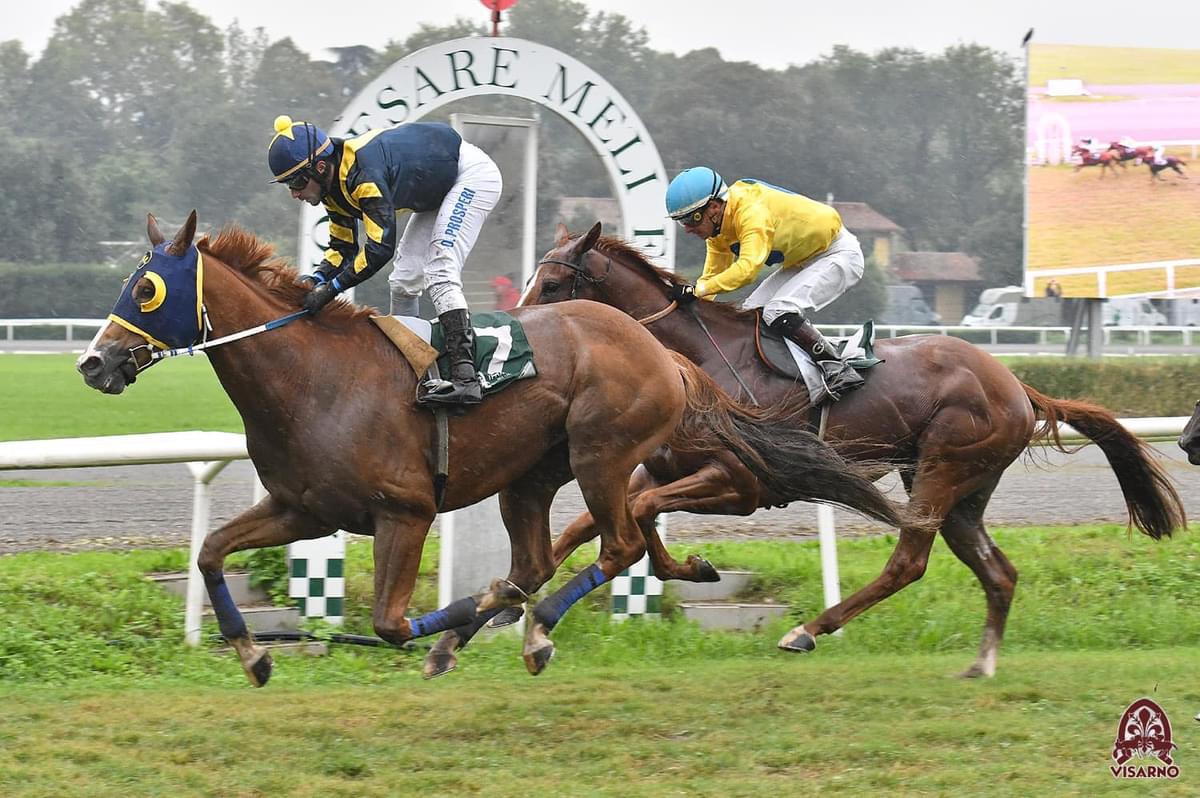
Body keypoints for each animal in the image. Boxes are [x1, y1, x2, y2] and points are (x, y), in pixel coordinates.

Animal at [77, 210, 907, 676]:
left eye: (146, 290)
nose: (95, 362)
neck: (313, 377)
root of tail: (657, 349)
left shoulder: (404, 510)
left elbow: (389, 622)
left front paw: (452, 626)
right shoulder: (303, 509)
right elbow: (210, 552)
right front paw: (252, 654)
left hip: (601, 453)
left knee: (616, 544)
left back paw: (534, 632)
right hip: (530, 475)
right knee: (542, 558)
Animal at [520, 220, 1185, 676]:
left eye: (550, 282)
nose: (517, 328)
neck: (699, 358)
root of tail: (1018, 385)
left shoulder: (744, 484)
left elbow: (640, 515)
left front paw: (686, 568)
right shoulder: (660, 468)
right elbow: (592, 522)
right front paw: (518, 604)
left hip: (945, 466)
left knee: (908, 561)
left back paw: (809, 629)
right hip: (961, 490)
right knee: (997, 571)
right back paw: (981, 663)